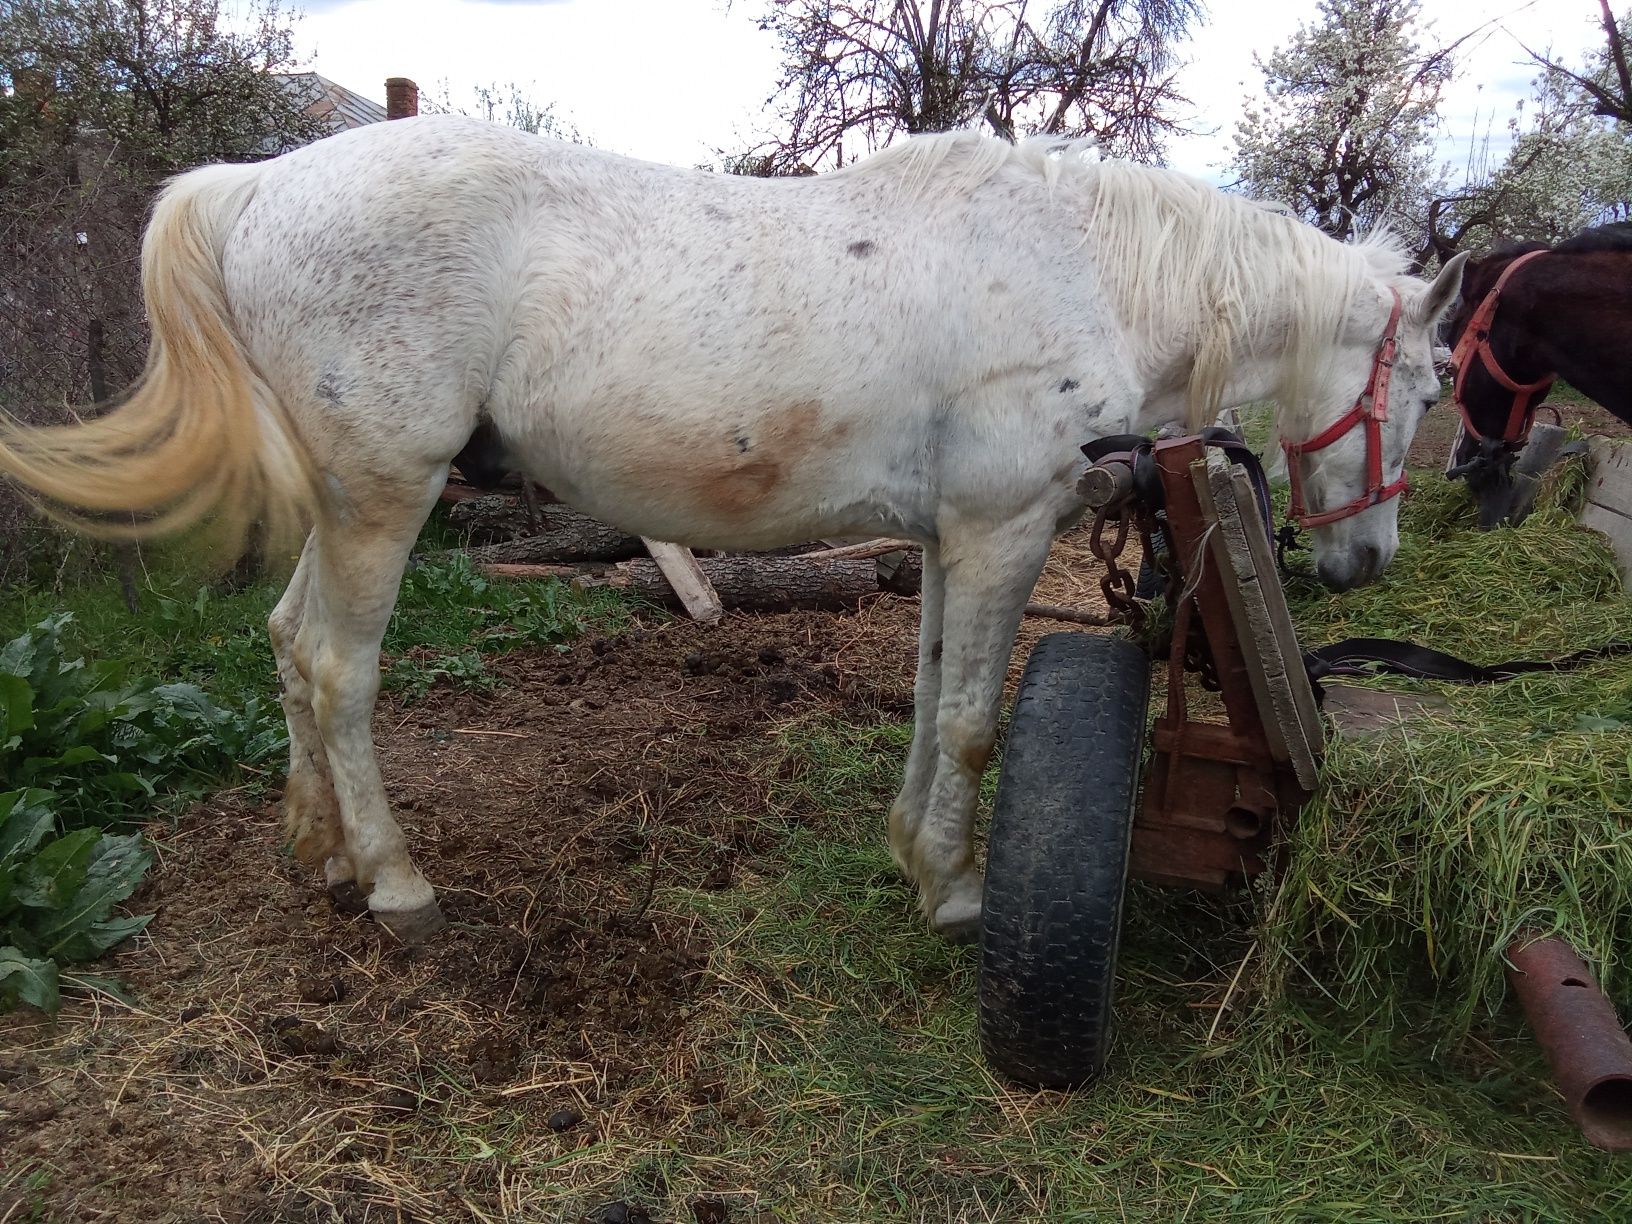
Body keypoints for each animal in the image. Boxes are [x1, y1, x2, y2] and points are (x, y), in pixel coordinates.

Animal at [0, 119, 1468, 946]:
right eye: (1429, 387)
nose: (1367, 564)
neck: (1084, 262)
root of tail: (254, 188)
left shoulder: (948, 538)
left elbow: (933, 701)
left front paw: (912, 854)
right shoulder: (1004, 531)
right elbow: (976, 724)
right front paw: (955, 893)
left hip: (346, 495)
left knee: (288, 645)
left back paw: (319, 852)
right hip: (385, 495)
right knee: (337, 670)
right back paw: (397, 884)